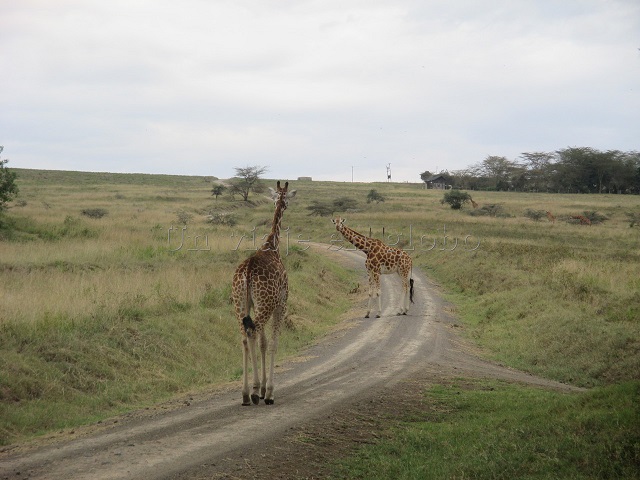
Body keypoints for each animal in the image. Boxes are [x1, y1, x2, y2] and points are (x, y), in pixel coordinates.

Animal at [232, 180, 298, 404]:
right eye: (285, 200)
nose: (285, 205)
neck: (272, 245)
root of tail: (248, 269)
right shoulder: (281, 305)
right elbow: (273, 344)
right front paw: (267, 391)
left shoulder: (258, 306)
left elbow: (263, 342)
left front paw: (261, 388)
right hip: (265, 305)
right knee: (251, 333)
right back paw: (252, 391)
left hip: (240, 305)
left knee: (245, 337)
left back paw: (245, 393)